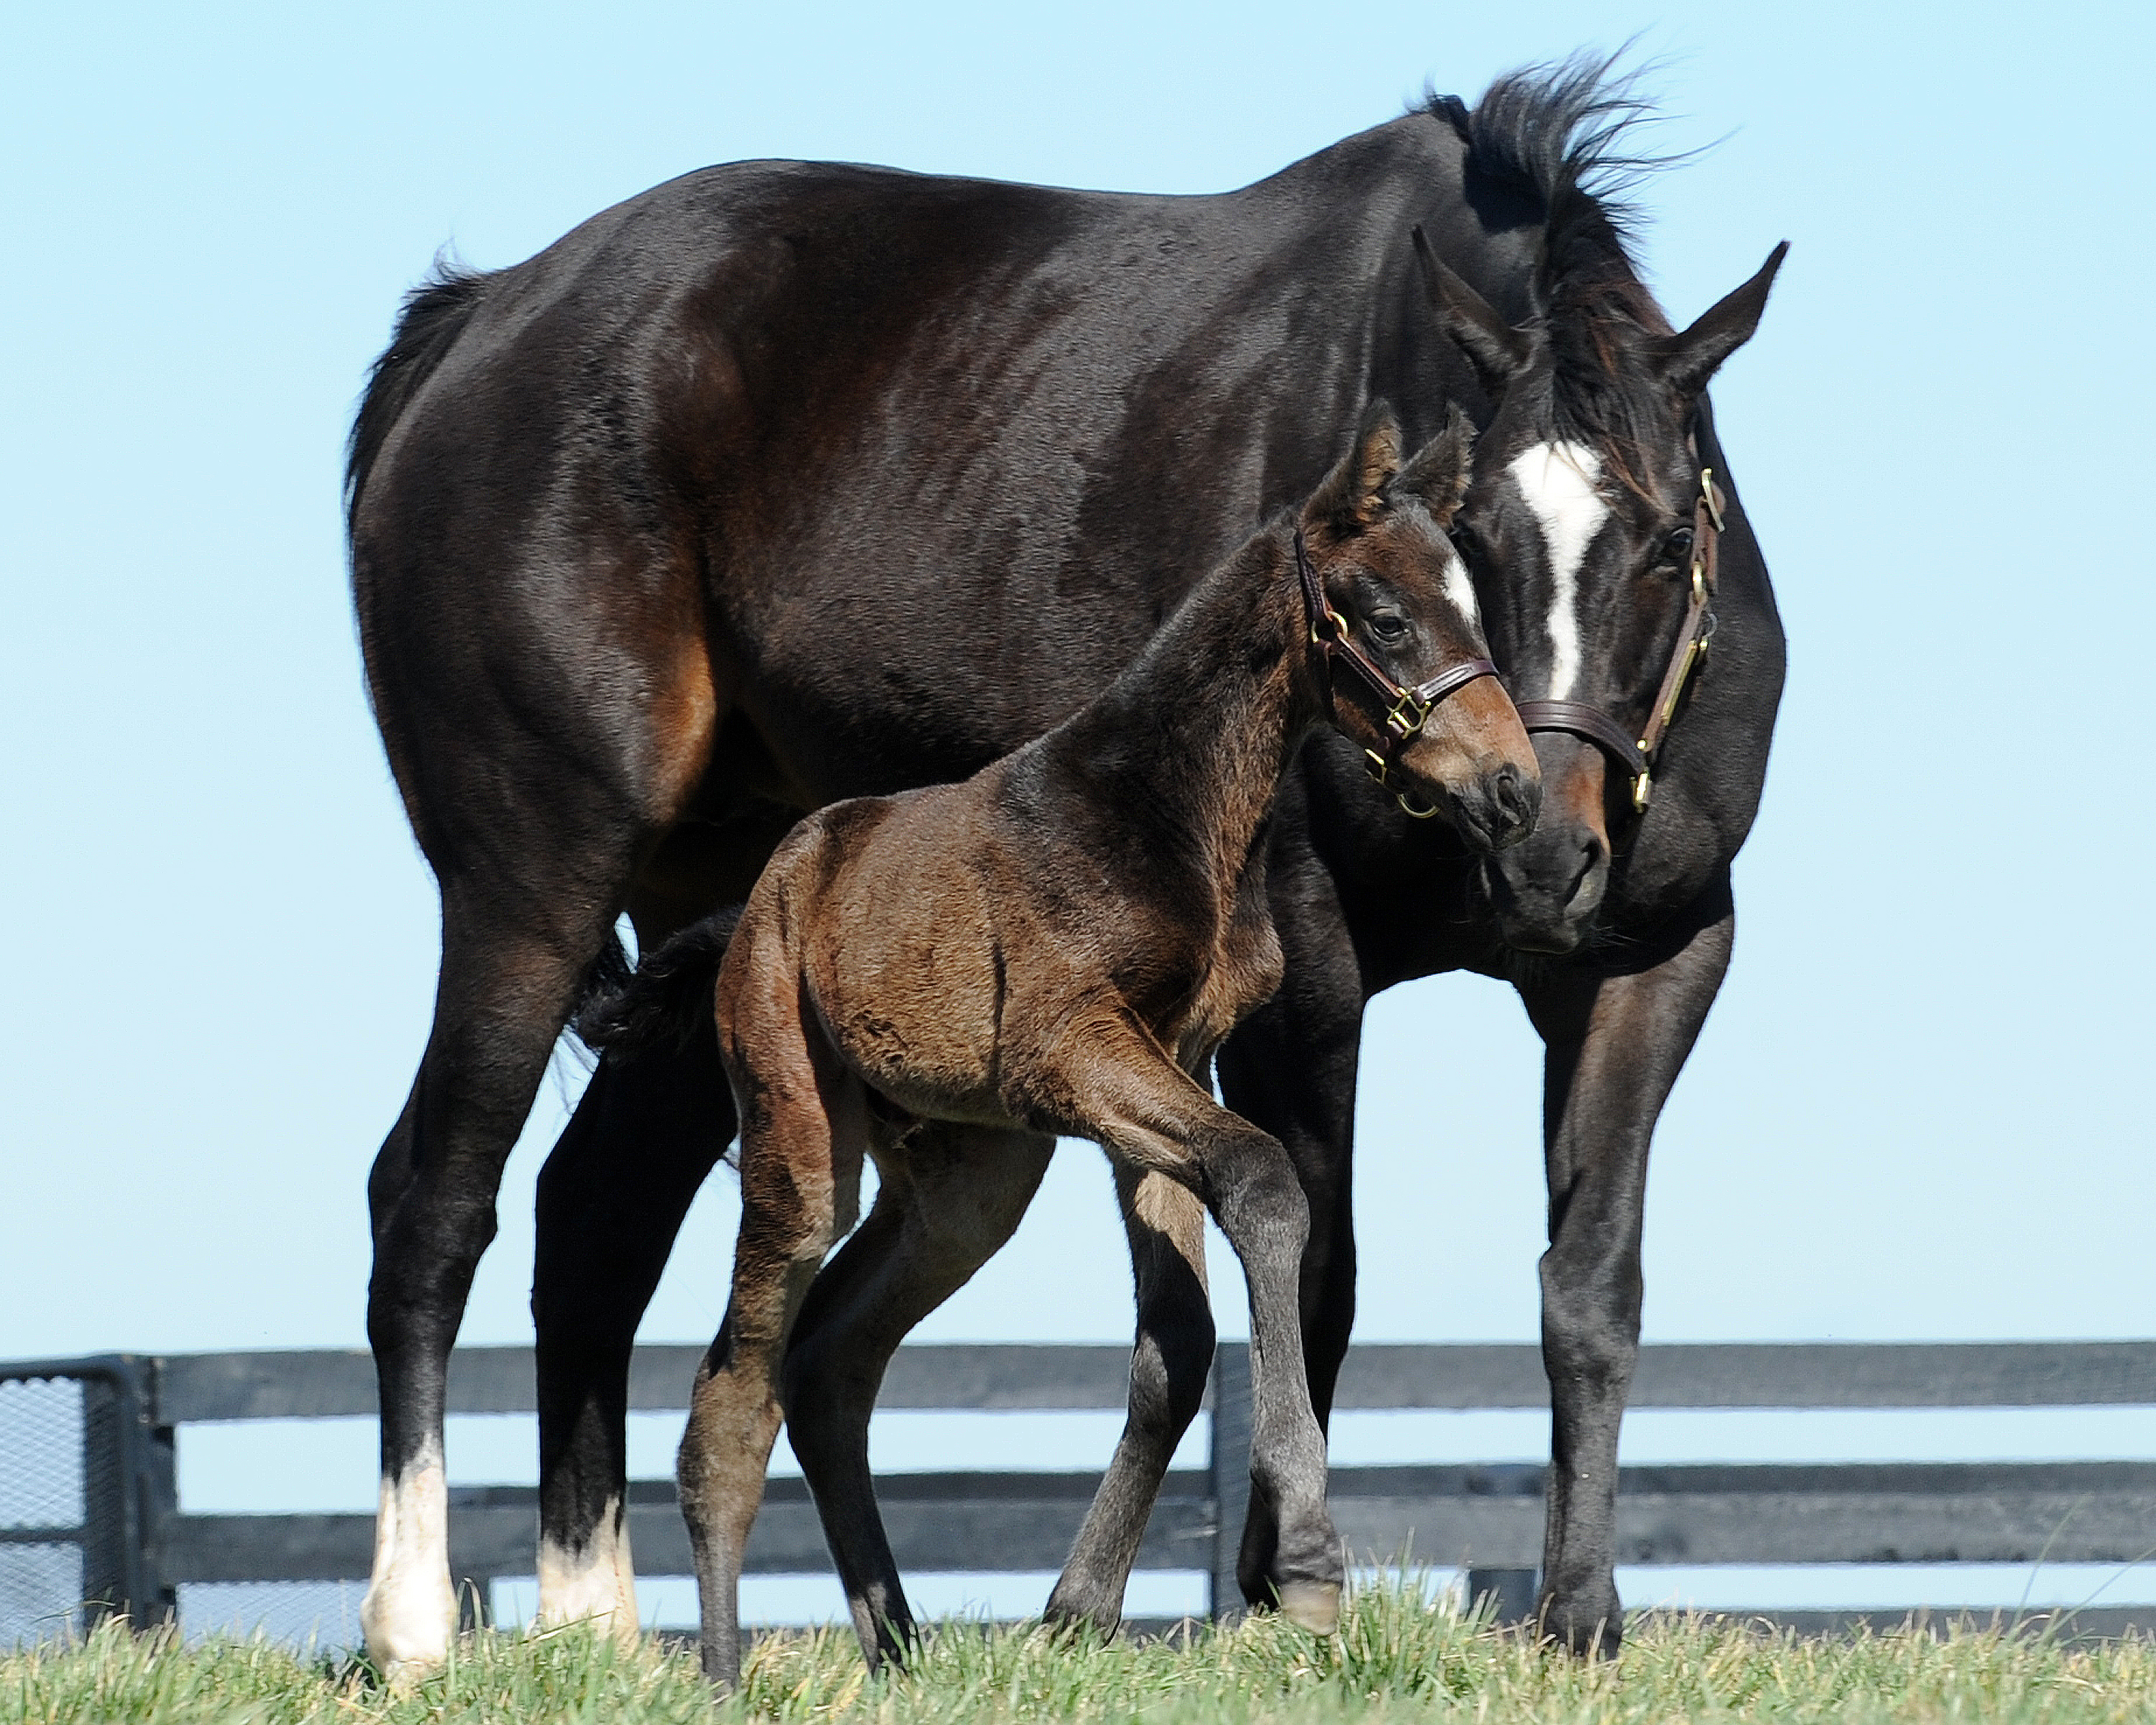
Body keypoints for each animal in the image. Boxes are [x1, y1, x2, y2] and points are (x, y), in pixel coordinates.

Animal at [585, 408, 1536, 1683]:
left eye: (1476, 609)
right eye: (1387, 617)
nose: (1516, 788)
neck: (1163, 815)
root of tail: (755, 909)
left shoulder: (1167, 1058)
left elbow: (1177, 1333)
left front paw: (1079, 1609)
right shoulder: (1067, 1048)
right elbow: (1263, 1181)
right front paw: (1306, 1563)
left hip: (970, 1180)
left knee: (830, 1359)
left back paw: (901, 1650)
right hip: (800, 1133)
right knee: (734, 1392)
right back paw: (731, 1676)